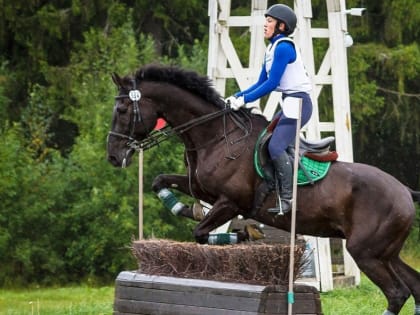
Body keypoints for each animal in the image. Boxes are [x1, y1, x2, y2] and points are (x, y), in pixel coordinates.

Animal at [107, 65, 420, 315]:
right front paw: (187, 209)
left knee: (397, 293)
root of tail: (405, 191)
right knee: (414, 286)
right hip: (386, 253)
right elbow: (160, 181)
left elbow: (201, 233)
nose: (112, 155)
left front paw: (247, 234)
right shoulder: (203, 190)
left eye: (122, 111)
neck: (216, 137)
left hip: (365, 251)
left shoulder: (230, 203)